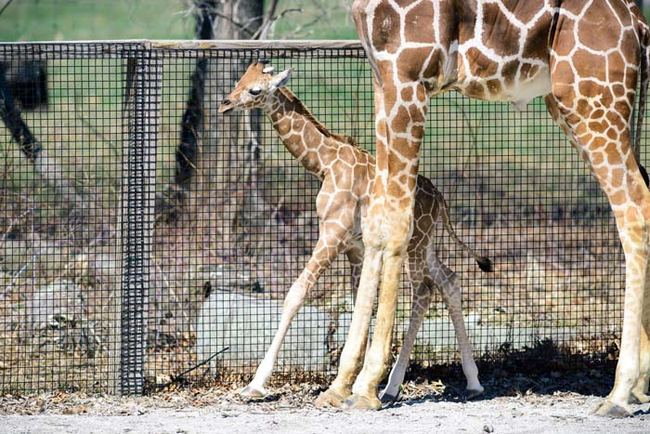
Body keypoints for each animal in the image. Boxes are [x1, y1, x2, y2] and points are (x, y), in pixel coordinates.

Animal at [219, 62, 492, 404]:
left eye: (255, 90)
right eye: (239, 80)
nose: (224, 104)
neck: (323, 164)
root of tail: (440, 198)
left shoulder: (332, 235)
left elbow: (296, 294)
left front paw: (255, 384)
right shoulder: (354, 248)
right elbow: (359, 303)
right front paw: (348, 383)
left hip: (414, 245)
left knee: (423, 291)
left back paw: (394, 385)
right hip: (425, 242)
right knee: (449, 281)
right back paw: (468, 382)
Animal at [316, 0, 648, 418]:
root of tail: (637, 23)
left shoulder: (409, 76)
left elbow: (395, 222)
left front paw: (367, 387)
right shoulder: (383, 79)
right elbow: (377, 220)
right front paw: (339, 386)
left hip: (592, 97)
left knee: (634, 208)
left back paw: (619, 393)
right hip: (573, 103)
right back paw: (639, 388)